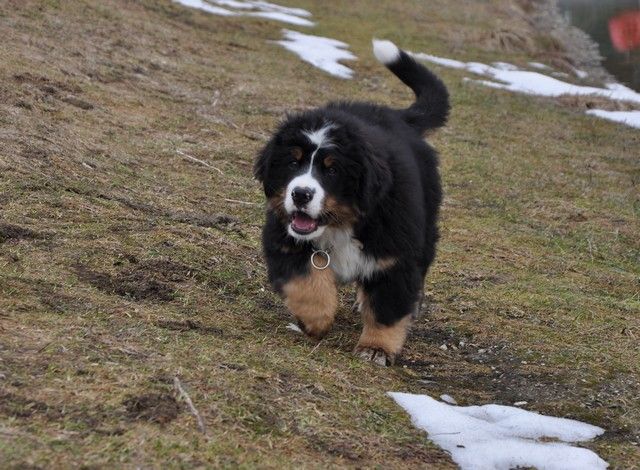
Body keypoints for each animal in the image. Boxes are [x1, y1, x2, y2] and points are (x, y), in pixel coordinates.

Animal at [254, 40, 449, 366]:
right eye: (292, 162)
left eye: (332, 170)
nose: (300, 194)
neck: (343, 224)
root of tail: (400, 118)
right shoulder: (285, 238)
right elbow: (307, 282)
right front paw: (315, 321)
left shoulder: (395, 255)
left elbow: (387, 308)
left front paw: (376, 348)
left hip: (425, 226)